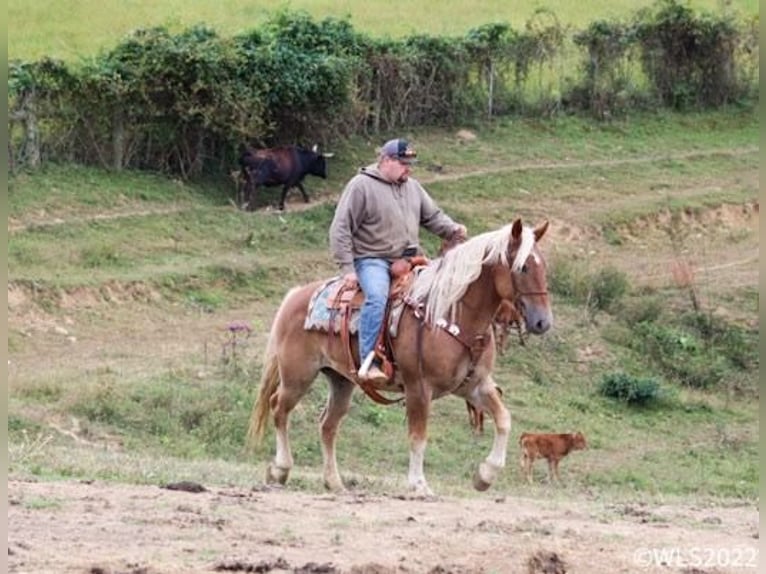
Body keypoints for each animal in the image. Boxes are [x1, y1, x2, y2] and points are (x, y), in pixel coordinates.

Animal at [249, 218, 556, 498]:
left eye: (544, 266)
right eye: (523, 267)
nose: (542, 322)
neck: (451, 312)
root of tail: (295, 296)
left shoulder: (475, 386)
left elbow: (504, 419)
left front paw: (485, 476)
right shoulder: (418, 387)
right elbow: (418, 436)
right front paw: (419, 484)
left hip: (340, 381)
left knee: (327, 425)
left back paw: (334, 482)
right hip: (297, 376)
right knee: (279, 408)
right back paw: (280, 469)